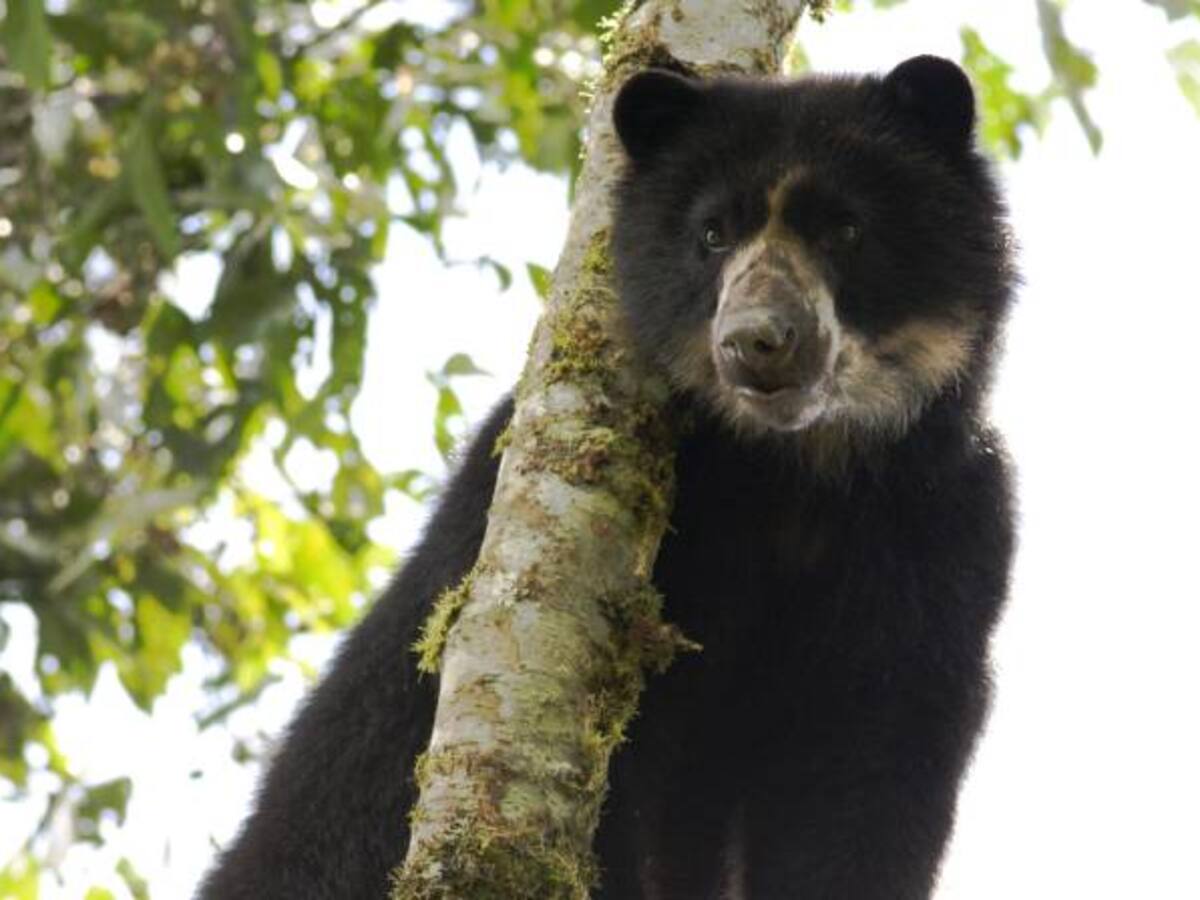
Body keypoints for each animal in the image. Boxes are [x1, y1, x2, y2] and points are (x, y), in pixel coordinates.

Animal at [199, 55, 1015, 900]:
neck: (792, 470)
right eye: (712, 235)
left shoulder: (944, 533)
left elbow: (868, 771)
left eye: (846, 229)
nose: (757, 342)